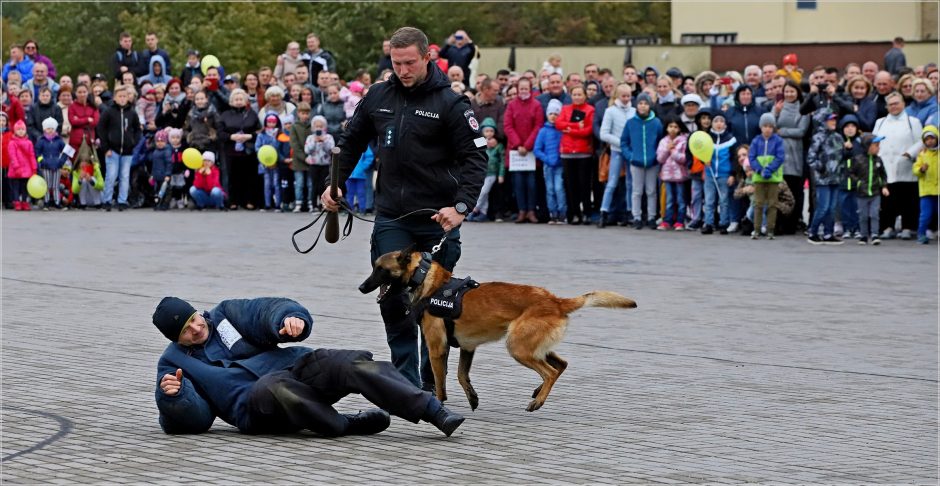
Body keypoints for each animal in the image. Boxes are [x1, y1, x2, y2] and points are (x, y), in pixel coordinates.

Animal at [360, 249, 640, 412]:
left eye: (380, 269)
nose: (362, 287)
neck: (428, 280)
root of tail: (555, 301)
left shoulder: (437, 348)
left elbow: (440, 383)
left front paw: (438, 404)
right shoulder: (467, 347)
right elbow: (462, 375)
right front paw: (472, 399)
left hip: (517, 347)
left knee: (550, 372)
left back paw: (538, 400)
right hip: (531, 346)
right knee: (561, 364)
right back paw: (538, 392)